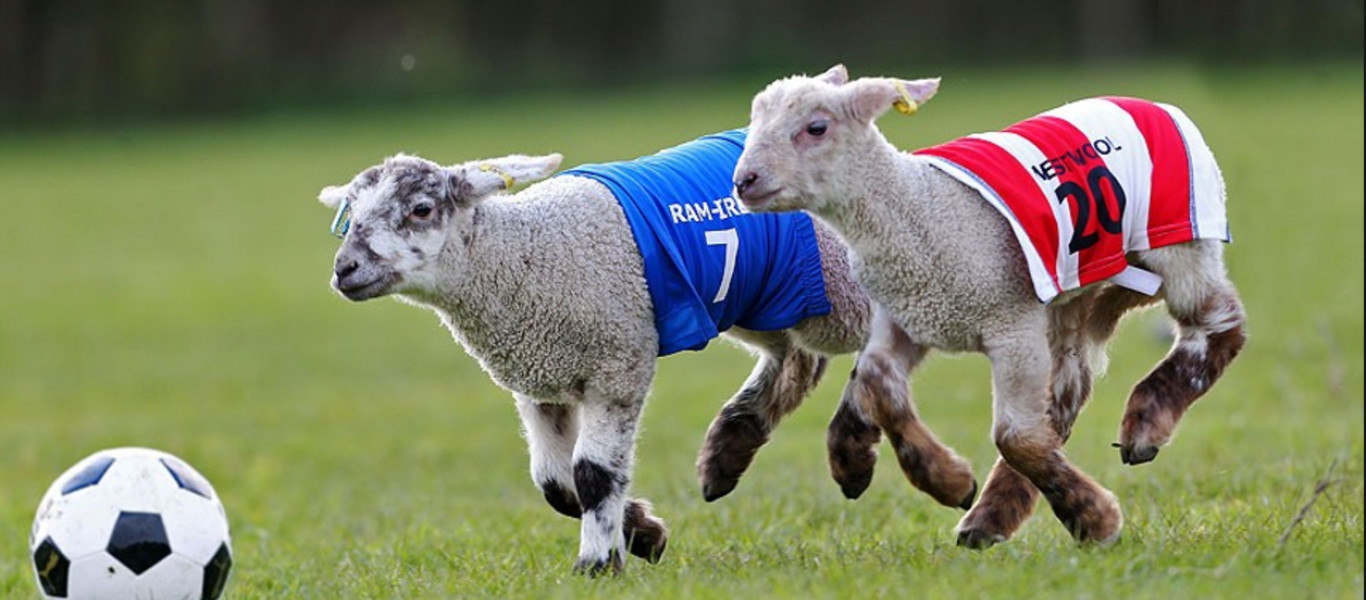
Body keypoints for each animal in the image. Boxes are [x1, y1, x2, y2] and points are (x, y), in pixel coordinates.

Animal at [319, 129, 983, 576]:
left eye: (421, 210)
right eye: (350, 216)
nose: (344, 270)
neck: (522, 256)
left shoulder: (618, 360)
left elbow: (591, 472)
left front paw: (598, 564)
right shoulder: (540, 379)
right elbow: (554, 482)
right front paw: (642, 534)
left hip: (835, 283)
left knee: (884, 341)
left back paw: (905, 469)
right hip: (764, 295)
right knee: (799, 359)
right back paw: (728, 452)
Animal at [737, 65, 1251, 549]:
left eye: (816, 127)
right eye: (754, 119)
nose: (744, 181)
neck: (917, 210)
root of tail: (1150, 102)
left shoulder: (1010, 323)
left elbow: (1014, 436)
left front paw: (1097, 521)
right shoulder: (909, 315)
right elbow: (878, 383)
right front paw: (945, 481)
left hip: (1179, 240)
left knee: (1220, 327)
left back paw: (1142, 427)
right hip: (1072, 291)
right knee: (1065, 394)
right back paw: (990, 517)